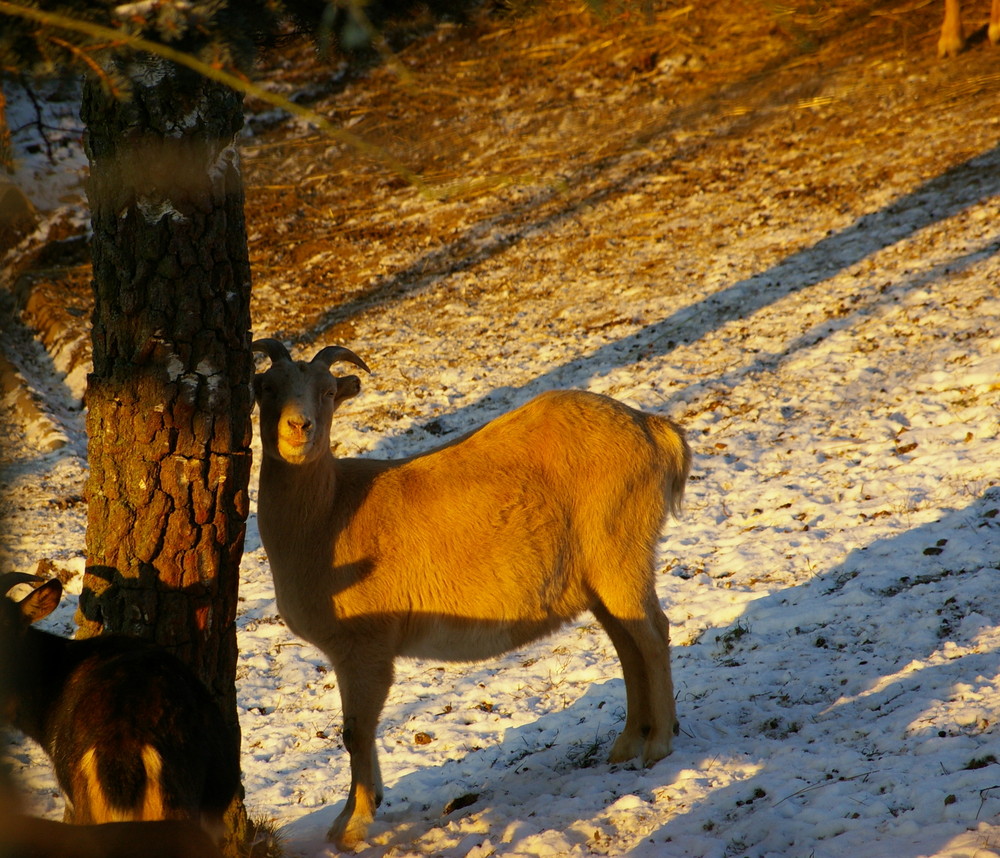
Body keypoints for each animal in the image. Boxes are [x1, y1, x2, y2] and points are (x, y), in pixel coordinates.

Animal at [252, 338, 688, 844]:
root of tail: (654, 429)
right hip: (599, 575)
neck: (331, 512)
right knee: (627, 643)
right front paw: (360, 808)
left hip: (621, 548)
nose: (298, 427)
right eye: (266, 388)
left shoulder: (364, 644)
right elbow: (359, 730)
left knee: (653, 634)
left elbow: (355, 731)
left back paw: (659, 744)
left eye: (326, 391)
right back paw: (628, 742)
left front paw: (352, 824)